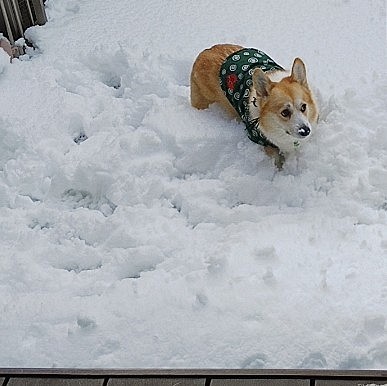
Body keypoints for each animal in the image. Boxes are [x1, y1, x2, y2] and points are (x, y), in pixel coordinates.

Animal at [189, 43, 320, 167]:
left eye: (303, 107)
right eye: (285, 112)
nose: (305, 131)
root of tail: (206, 51)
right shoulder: (263, 141)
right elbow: (276, 160)